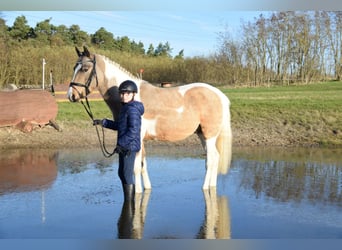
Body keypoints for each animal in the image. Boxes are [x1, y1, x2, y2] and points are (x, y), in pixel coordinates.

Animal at [67, 46, 232, 193]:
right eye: (74, 67)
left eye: (85, 69)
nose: (71, 95)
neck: (131, 98)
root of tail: (219, 95)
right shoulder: (140, 140)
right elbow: (142, 165)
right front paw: (147, 189)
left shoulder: (137, 137)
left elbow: (135, 168)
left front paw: (138, 193)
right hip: (202, 134)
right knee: (215, 158)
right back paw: (212, 186)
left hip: (209, 135)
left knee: (211, 160)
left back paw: (205, 188)